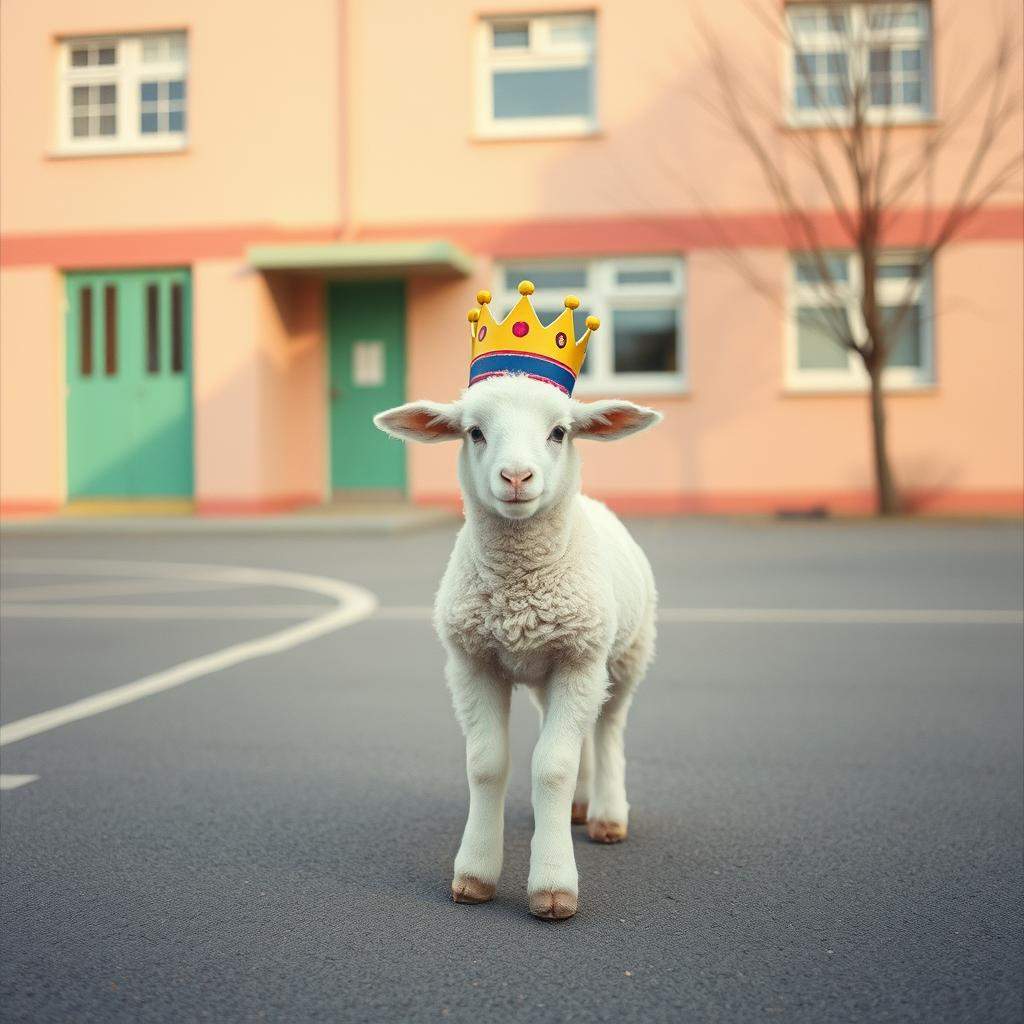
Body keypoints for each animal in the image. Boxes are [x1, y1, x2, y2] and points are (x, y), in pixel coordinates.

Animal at [374, 372, 661, 920]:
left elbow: (552, 767)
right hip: (558, 671)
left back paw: (608, 814)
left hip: (625, 656)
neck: (520, 588)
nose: (516, 477)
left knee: (609, 729)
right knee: (579, 730)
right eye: (475, 432)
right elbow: (487, 765)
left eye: (559, 432)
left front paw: (553, 885)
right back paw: (578, 807)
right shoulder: (473, 662)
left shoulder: (579, 660)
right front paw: (475, 874)